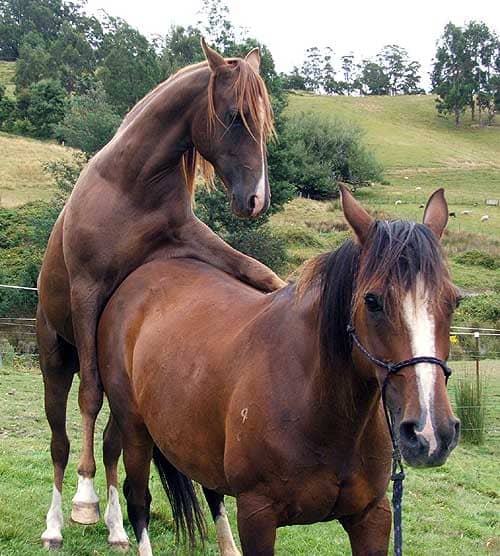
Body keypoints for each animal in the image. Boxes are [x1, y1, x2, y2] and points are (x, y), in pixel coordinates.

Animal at [37, 40, 286, 552]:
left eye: (264, 120)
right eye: (234, 116)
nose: (255, 200)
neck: (130, 187)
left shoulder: (188, 241)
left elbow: (261, 273)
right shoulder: (87, 290)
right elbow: (88, 397)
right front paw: (84, 499)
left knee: (114, 445)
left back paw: (117, 529)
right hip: (57, 360)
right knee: (60, 443)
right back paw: (57, 524)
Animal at [97, 188, 460, 556]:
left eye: (454, 301)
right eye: (372, 301)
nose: (431, 433)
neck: (318, 408)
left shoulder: (372, 516)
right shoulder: (257, 515)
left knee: (211, 490)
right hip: (135, 428)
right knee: (137, 499)